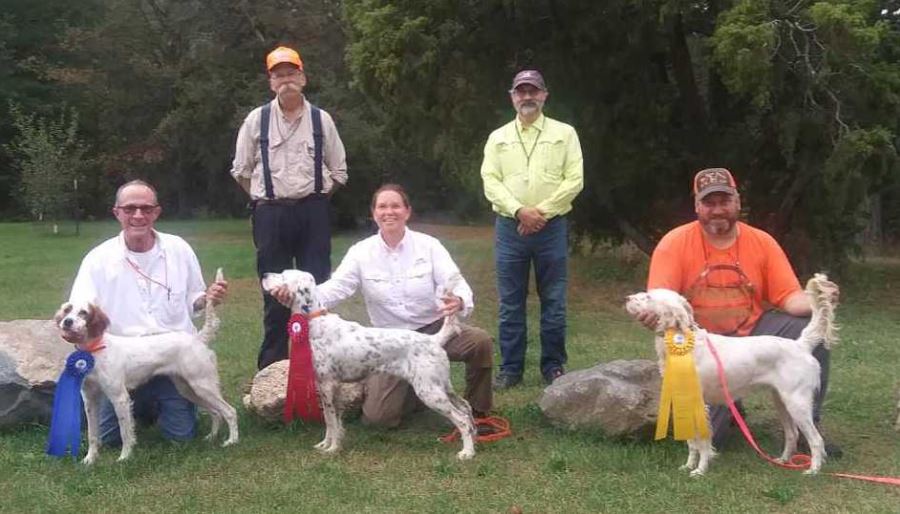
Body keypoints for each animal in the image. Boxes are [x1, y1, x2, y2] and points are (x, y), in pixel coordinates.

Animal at [54, 268, 237, 460]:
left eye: (83, 312)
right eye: (67, 310)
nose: (67, 322)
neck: (94, 351)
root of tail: (197, 338)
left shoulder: (120, 397)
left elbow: (125, 432)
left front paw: (124, 457)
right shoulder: (89, 399)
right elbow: (93, 434)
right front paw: (90, 459)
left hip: (202, 385)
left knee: (229, 411)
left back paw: (231, 441)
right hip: (188, 388)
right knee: (216, 412)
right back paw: (211, 437)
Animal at [262, 268, 478, 460]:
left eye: (283, 274)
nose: (264, 274)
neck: (314, 322)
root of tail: (433, 340)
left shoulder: (327, 385)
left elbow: (331, 421)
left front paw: (332, 449)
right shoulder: (330, 387)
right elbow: (333, 422)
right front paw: (326, 444)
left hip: (428, 390)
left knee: (461, 418)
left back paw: (467, 452)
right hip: (442, 386)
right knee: (466, 407)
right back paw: (475, 437)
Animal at [624, 274, 836, 474]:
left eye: (648, 297)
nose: (627, 298)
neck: (681, 342)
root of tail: (800, 344)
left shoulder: (699, 405)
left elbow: (702, 443)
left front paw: (700, 470)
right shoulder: (683, 401)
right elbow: (691, 442)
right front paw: (688, 466)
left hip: (797, 403)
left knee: (816, 439)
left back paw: (813, 470)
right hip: (781, 402)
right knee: (792, 434)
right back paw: (783, 461)